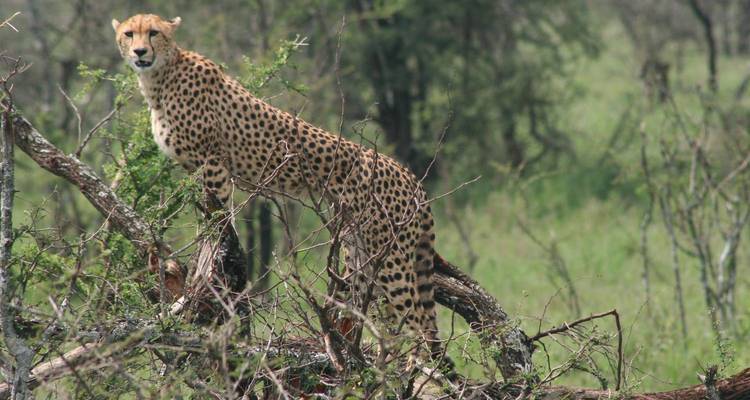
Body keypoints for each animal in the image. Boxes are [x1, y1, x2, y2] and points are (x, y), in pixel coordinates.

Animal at [112, 14, 446, 362]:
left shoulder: (214, 163)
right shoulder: (198, 169)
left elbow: (218, 218)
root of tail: (408, 174)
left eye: (154, 33)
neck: (161, 77)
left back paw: (414, 368)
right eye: (129, 34)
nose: (139, 52)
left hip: (391, 256)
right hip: (362, 250)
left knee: (415, 320)